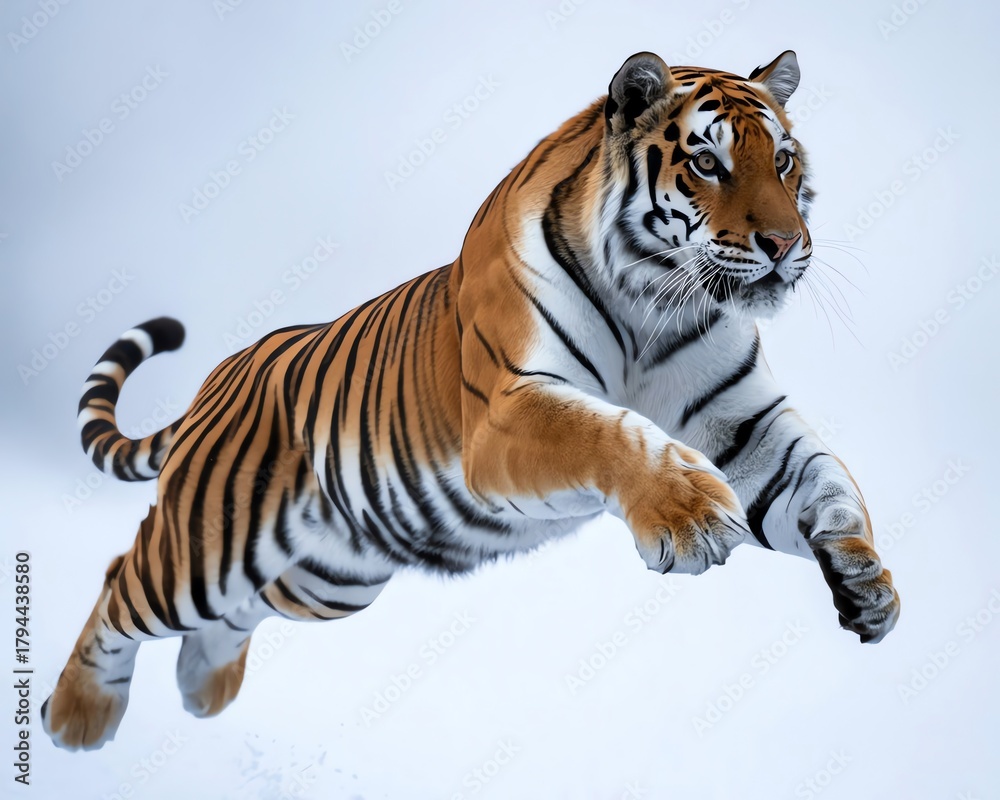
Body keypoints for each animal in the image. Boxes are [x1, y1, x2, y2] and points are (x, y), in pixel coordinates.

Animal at [43, 50, 900, 751]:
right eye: (708, 163)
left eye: (784, 162)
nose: (786, 246)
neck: (655, 302)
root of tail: (219, 374)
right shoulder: (510, 411)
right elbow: (613, 432)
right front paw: (687, 517)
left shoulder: (744, 423)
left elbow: (827, 480)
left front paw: (865, 580)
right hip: (208, 545)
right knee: (122, 578)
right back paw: (76, 718)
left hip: (327, 577)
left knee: (236, 611)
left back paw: (204, 688)